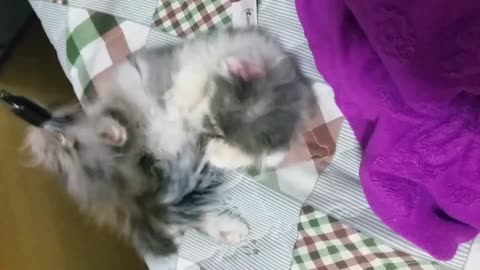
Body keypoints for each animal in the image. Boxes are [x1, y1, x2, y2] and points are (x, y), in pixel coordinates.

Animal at [116, 28, 316, 171]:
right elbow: (194, 78)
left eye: (218, 133)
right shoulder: (203, 54)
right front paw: (175, 107)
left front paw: (215, 152)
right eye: (211, 118)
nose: (202, 125)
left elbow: (254, 156)